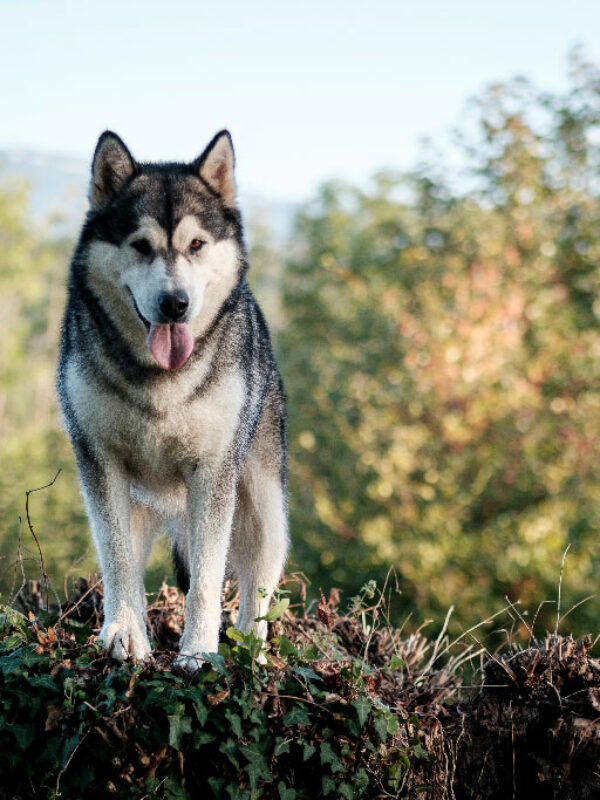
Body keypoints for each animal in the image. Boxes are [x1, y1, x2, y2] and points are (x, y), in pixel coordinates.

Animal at [56, 131, 288, 668]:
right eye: (141, 246)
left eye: (196, 245)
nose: (175, 304)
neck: (160, 379)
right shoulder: (100, 463)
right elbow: (118, 562)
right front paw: (124, 635)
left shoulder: (212, 473)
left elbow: (206, 578)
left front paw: (200, 652)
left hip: (264, 507)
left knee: (257, 589)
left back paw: (252, 655)